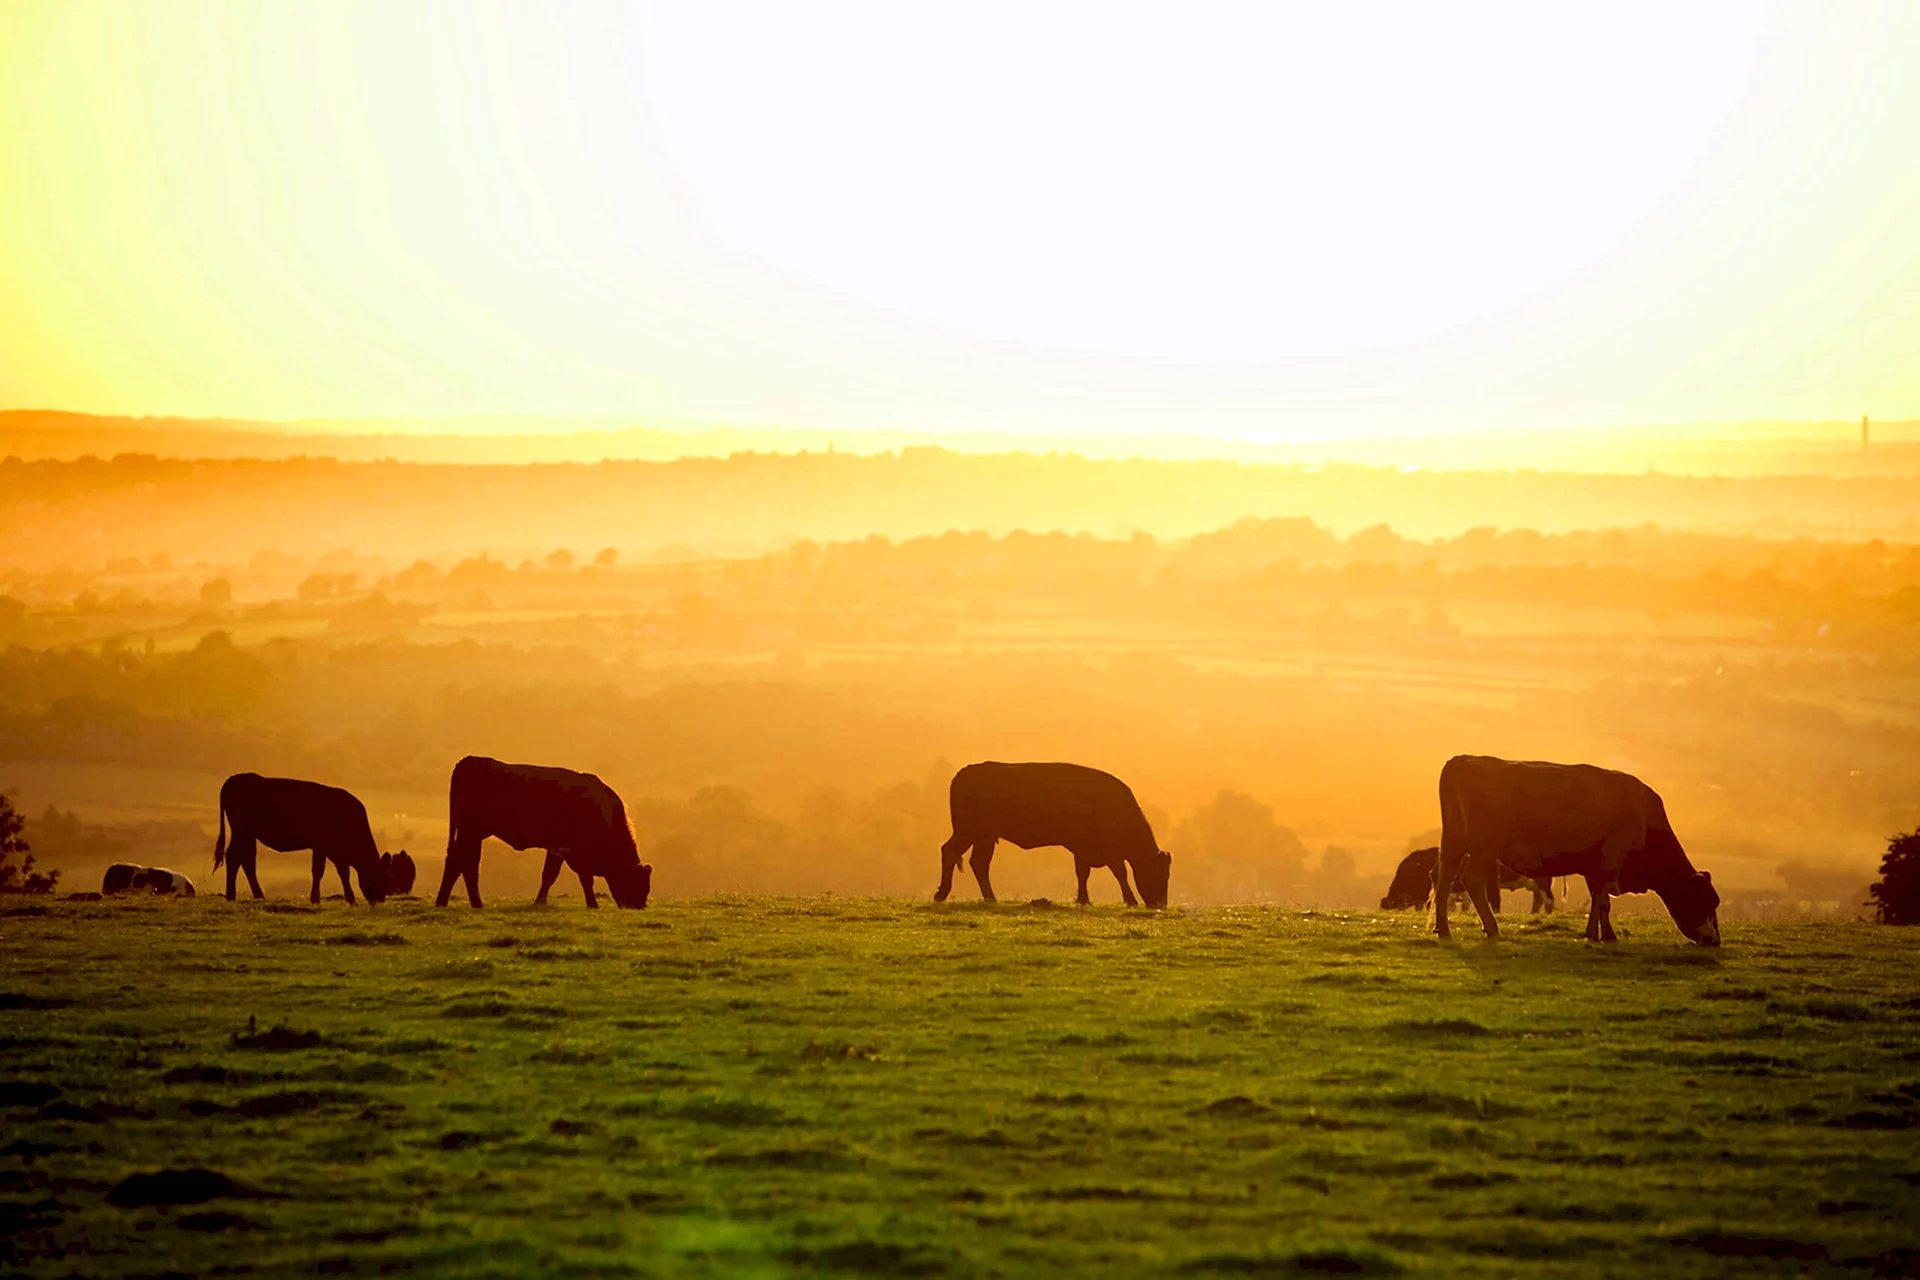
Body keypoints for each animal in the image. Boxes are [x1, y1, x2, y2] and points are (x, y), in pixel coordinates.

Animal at [213, 775, 389, 905]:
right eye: (380, 875)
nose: (380, 899)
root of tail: (233, 779)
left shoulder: (327, 848)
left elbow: (330, 871)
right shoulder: (326, 846)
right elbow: (327, 871)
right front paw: (341, 899)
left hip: (248, 835)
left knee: (246, 859)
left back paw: (256, 895)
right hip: (241, 831)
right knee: (234, 856)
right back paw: (232, 895)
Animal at [435, 759, 652, 909]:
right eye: (638, 883)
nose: (638, 906)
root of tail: (469, 760)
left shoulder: (557, 847)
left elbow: (549, 874)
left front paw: (540, 901)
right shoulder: (579, 851)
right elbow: (585, 878)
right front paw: (592, 904)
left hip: (471, 833)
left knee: (463, 862)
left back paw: (452, 902)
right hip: (470, 831)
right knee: (464, 862)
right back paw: (463, 902)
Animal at [933, 759, 1167, 909]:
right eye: (1158, 874)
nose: (1161, 904)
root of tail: (965, 772)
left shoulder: (1082, 849)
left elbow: (1083, 873)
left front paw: (1084, 900)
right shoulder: (1107, 851)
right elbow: (1120, 872)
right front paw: (1131, 901)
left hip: (982, 836)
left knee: (972, 861)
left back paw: (985, 898)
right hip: (973, 832)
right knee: (957, 854)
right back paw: (949, 895)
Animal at [1436, 756, 1720, 948]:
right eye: (1706, 901)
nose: (1715, 941)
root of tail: (1464, 760)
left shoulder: (1593, 866)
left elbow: (1596, 900)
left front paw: (1592, 934)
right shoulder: (1609, 860)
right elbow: (1603, 902)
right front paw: (1609, 936)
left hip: (1454, 842)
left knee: (1443, 879)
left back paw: (1443, 928)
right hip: (1482, 847)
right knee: (1472, 880)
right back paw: (1492, 928)